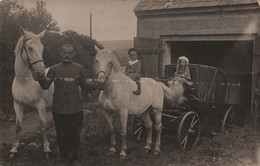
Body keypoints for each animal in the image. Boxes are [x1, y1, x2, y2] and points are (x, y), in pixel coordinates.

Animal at [9, 27, 53, 160]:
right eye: (29, 48)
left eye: (42, 47)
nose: (40, 74)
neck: (24, 81)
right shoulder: (18, 105)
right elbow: (18, 127)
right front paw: (14, 149)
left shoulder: (40, 105)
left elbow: (43, 126)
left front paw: (46, 150)